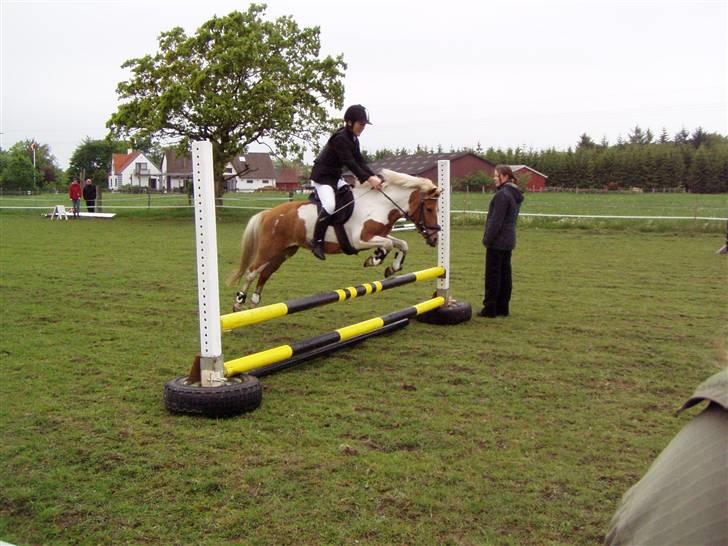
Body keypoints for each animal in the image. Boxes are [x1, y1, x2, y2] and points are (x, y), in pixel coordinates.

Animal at [230, 168, 440, 308]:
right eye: (430, 209)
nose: (435, 239)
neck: (379, 205)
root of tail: (269, 213)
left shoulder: (377, 234)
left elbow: (402, 244)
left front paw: (392, 268)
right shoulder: (360, 240)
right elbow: (388, 244)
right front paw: (374, 259)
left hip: (285, 251)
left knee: (266, 272)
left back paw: (255, 301)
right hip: (269, 248)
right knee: (252, 271)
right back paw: (239, 302)